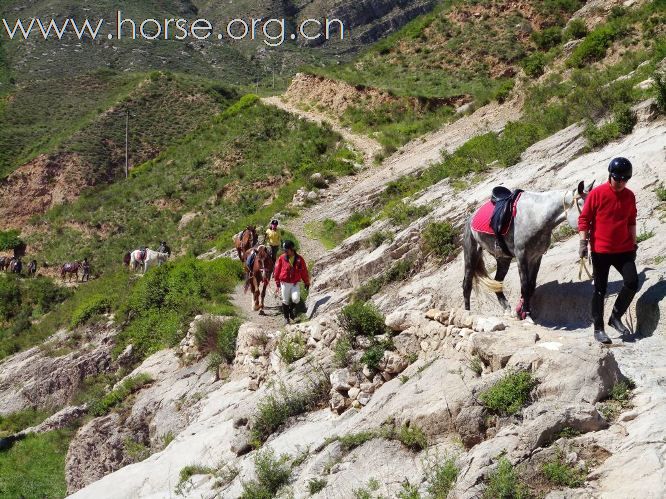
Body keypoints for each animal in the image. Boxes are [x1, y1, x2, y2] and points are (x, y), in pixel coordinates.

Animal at [462, 180, 592, 320]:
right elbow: (524, 286)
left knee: (497, 282)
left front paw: (523, 312)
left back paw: (507, 309)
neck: (536, 215)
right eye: (584, 207)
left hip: (503, 259)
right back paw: (467, 312)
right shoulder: (521, 256)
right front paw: (527, 315)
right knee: (467, 285)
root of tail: (470, 218)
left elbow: (531, 285)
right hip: (471, 256)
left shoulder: (536, 257)